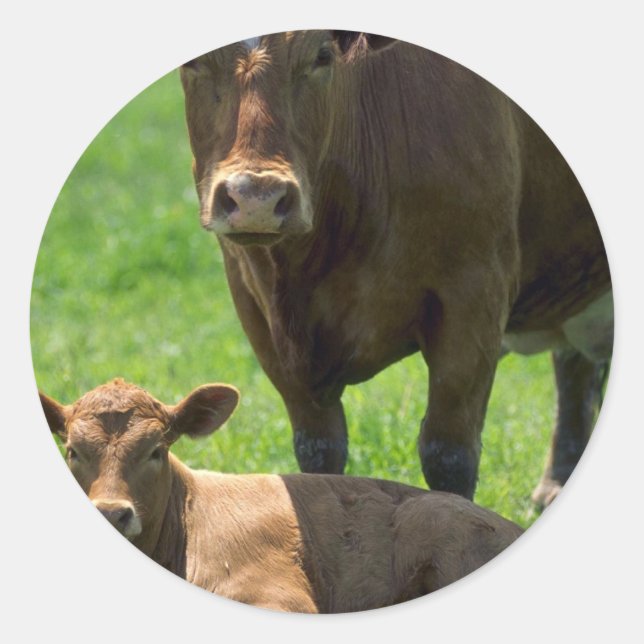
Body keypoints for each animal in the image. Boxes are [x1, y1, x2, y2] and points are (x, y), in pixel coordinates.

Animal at [179, 31, 613, 504]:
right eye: (193, 62)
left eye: (322, 55)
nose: (256, 197)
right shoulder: (258, 308)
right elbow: (319, 448)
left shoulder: (474, 297)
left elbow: (448, 454)